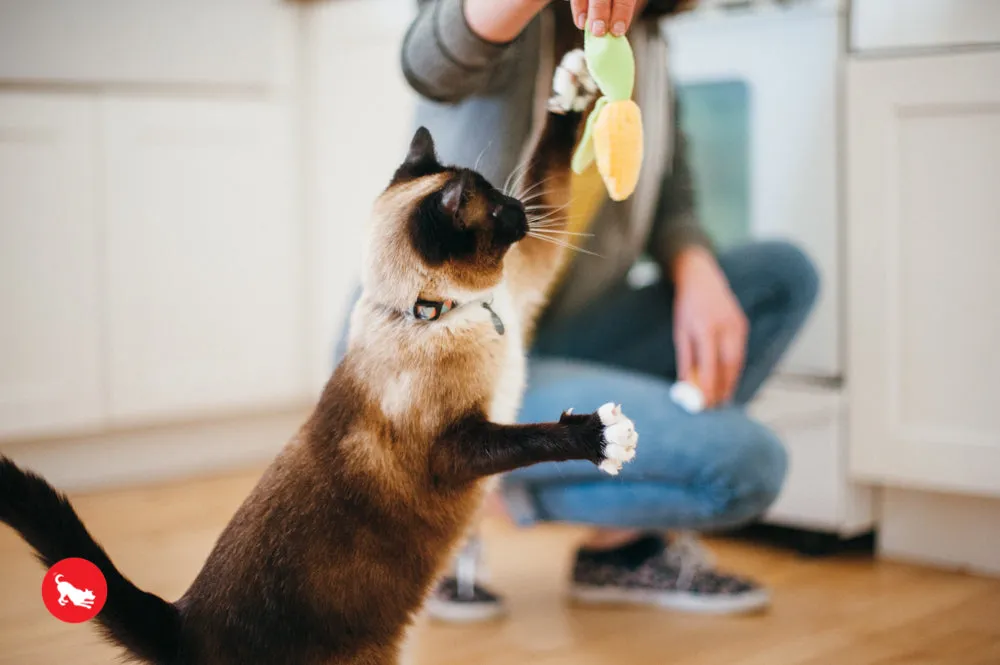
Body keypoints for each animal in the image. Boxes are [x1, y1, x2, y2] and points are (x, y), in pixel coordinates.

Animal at [0, 27, 636, 664]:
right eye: (499, 210)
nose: (521, 212)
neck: (439, 312)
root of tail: (181, 623)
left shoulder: (524, 281)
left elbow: (549, 161)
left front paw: (575, 82)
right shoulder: (455, 448)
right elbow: (534, 437)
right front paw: (602, 437)